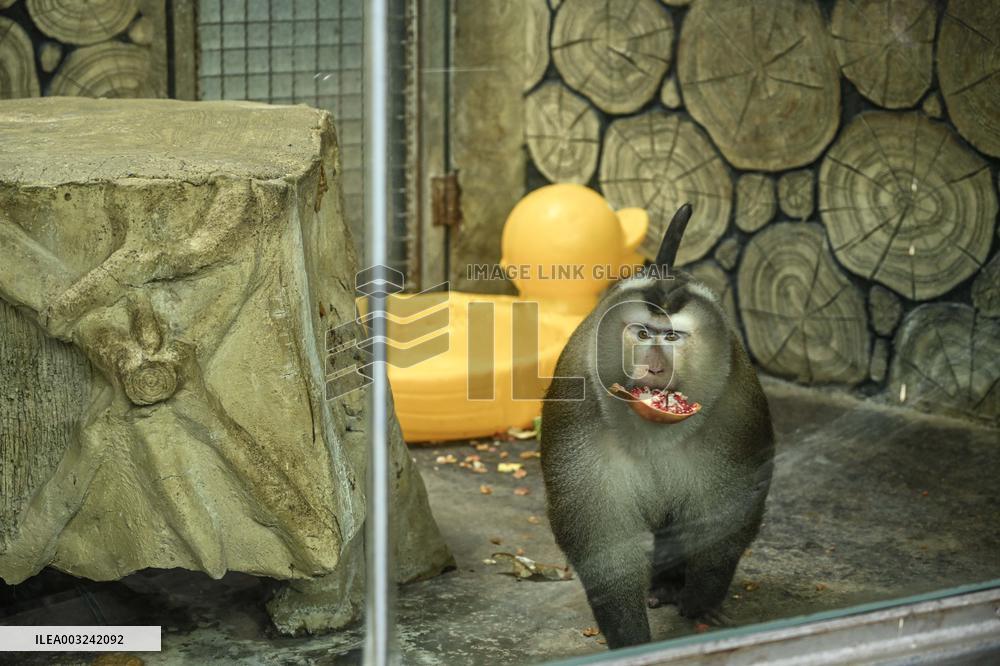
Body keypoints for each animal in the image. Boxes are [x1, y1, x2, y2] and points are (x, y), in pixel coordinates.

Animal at [540, 203, 774, 649]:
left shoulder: (735, 410)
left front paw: (701, 598)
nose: (653, 368)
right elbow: (602, 537)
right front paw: (629, 635)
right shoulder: (578, 408)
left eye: (672, 337)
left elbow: (729, 508)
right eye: (643, 332)